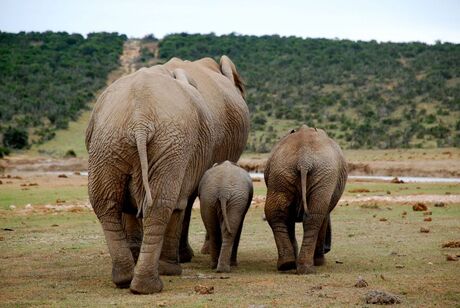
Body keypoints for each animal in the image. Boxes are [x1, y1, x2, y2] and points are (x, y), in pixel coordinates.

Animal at [86, 55, 252, 294]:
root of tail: (139, 120)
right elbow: (184, 201)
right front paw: (182, 259)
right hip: (165, 142)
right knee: (165, 203)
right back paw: (157, 279)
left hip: (110, 141)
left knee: (106, 203)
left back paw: (126, 278)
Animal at [264, 124, 346, 274]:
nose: (328, 249)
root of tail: (304, 160)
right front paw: (319, 262)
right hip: (323, 173)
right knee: (315, 216)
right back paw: (309, 266)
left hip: (282, 170)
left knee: (276, 213)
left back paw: (288, 265)